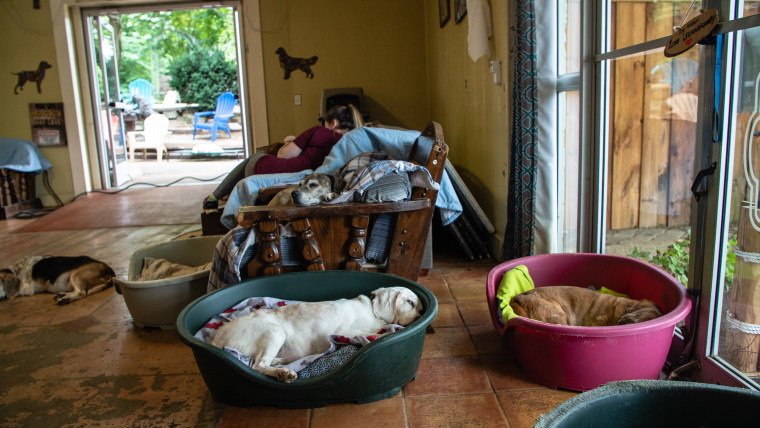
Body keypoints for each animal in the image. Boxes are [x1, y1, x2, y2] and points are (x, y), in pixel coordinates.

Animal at [211, 288, 422, 382]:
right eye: (410, 302)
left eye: (420, 307)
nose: (421, 315)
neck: (371, 308)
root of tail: (217, 337)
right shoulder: (348, 331)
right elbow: (374, 335)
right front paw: (378, 336)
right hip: (275, 331)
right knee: (258, 365)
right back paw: (284, 373)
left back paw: (281, 364)